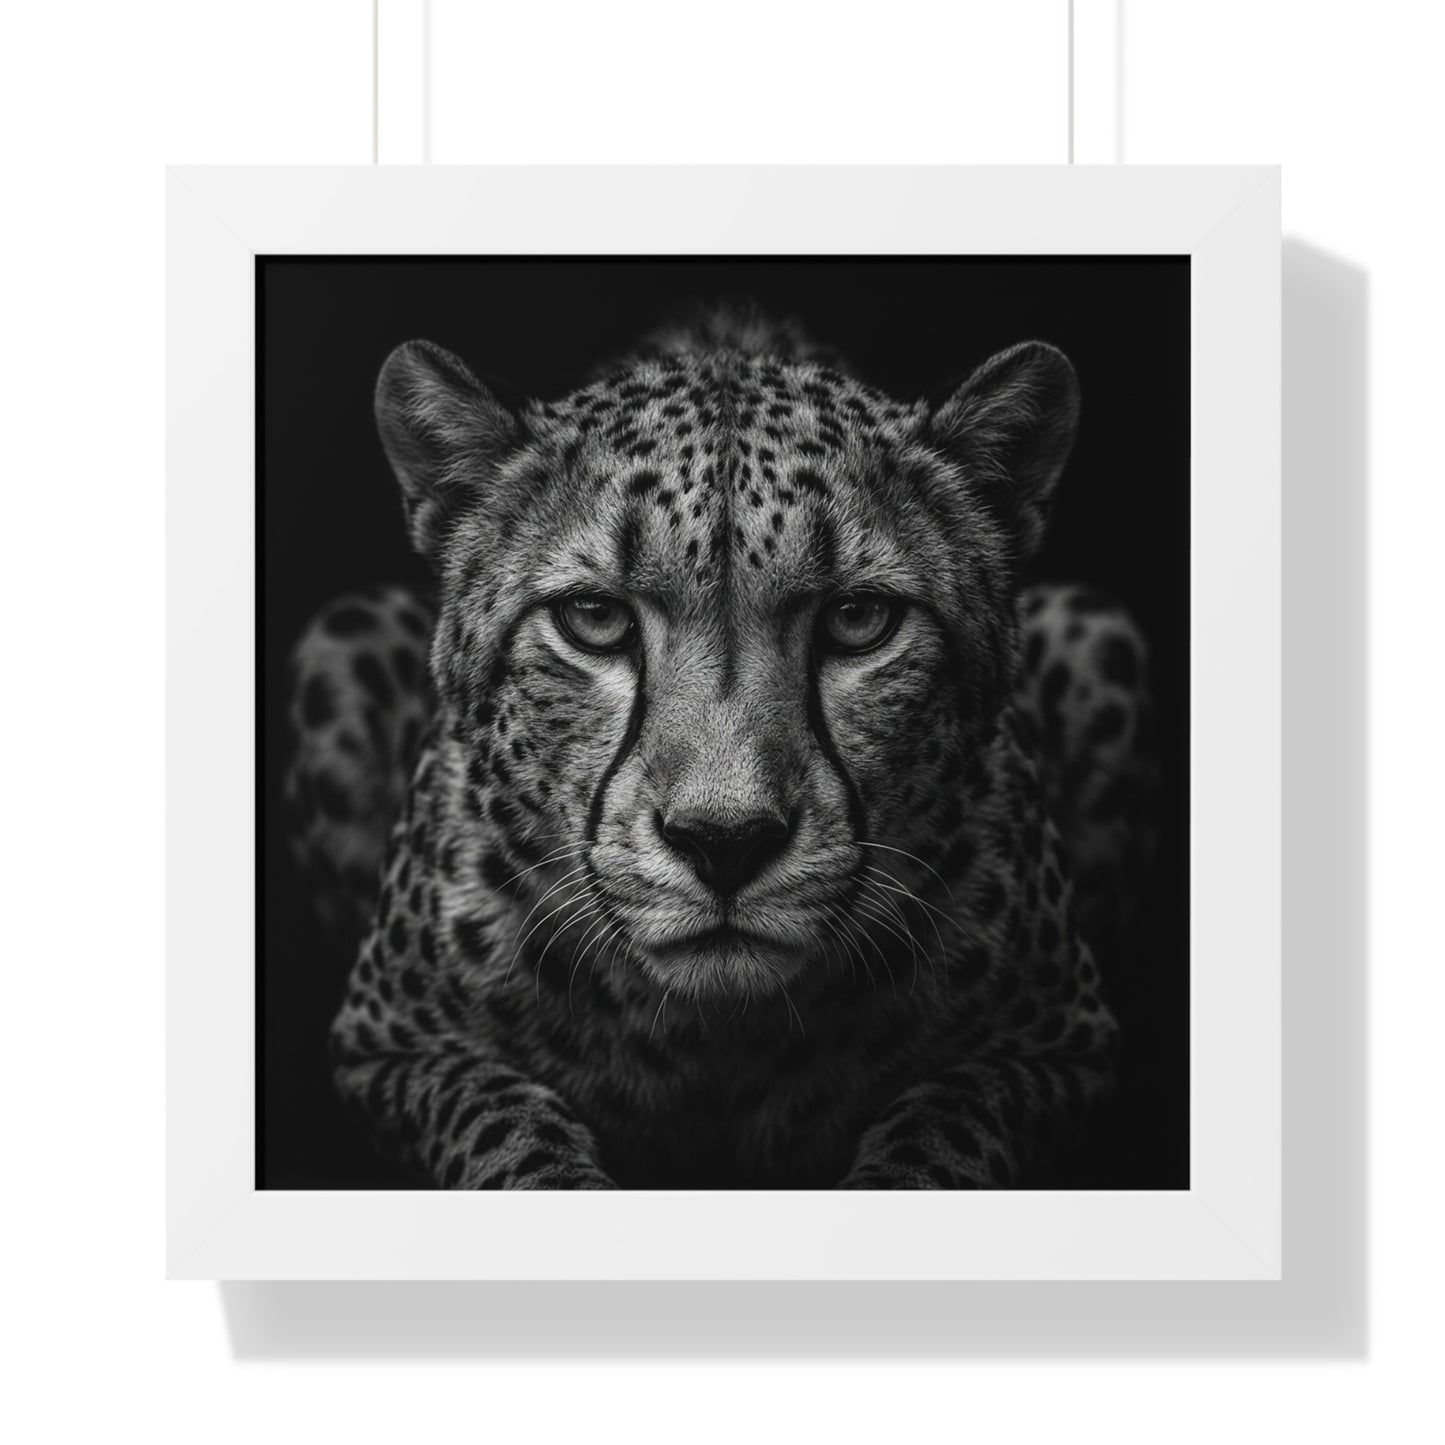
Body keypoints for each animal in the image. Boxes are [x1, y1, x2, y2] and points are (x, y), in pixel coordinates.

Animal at [284, 305, 1158, 1189]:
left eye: (858, 618)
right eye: (594, 617)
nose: (725, 842)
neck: (716, 1037)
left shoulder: (1060, 1046)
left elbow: (938, 1136)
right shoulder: (387, 1047)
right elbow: (509, 1132)